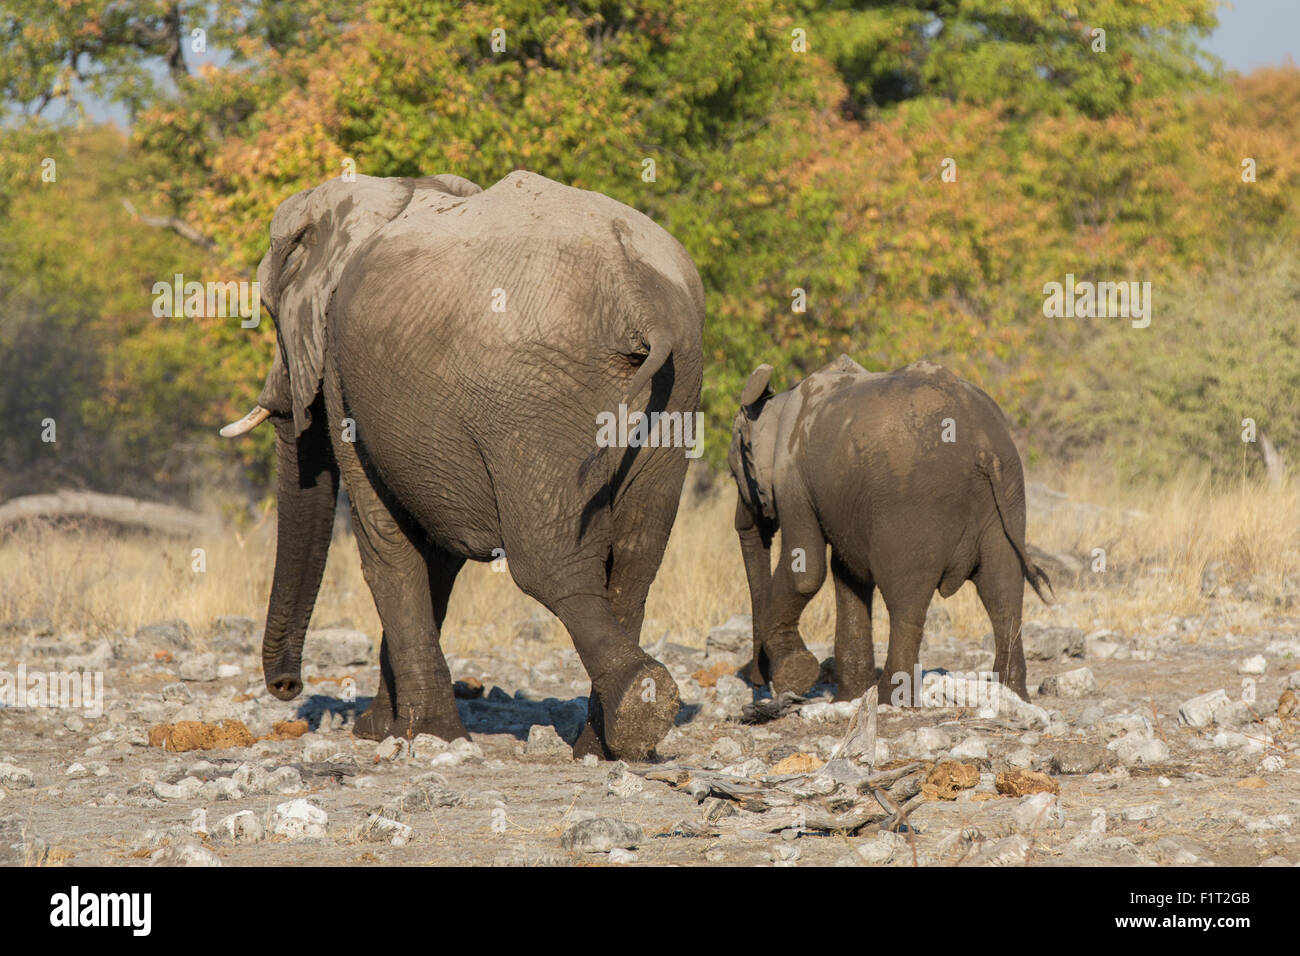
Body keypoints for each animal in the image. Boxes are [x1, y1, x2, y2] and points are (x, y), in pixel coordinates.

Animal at [219, 167, 707, 759]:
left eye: (270, 314)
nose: (288, 686)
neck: (384, 192)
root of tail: (634, 288)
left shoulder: (339, 371)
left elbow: (387, 545)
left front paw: (424, 735)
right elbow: (436, 557)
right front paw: (383, 730)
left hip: (531, 403)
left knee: (551, 563)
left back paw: (639, 709)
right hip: (675, 390)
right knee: (636, 561)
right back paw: (603, 744)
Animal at [728, 356, 1050, 707]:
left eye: (734, 473)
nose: (757, 680)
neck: (780, 397)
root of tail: (983, 442)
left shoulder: (793, 477)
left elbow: (806, 571)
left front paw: (797, 672)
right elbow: (848, 575)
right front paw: (848, 698)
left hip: (914, 507)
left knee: (906, 600)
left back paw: (891, 698)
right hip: (1007, 498)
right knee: (1002, 591)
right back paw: (1011, 692)